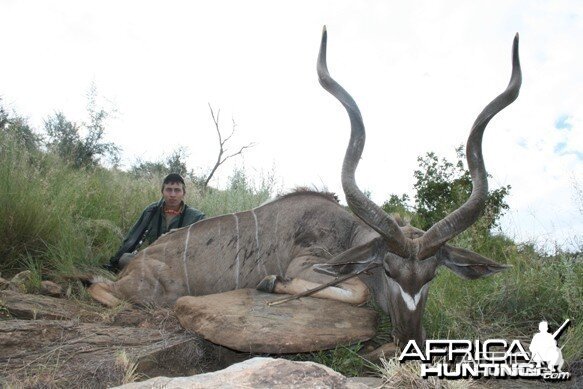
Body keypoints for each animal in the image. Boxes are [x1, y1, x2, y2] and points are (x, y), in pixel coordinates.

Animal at [89, 29, 524, 346]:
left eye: (433, 275)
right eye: (387, 269)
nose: (411, 340)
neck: (347, 232)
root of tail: (137, 262)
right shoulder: (309, 265)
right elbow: (356, 292)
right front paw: (269, 281)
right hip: (141, 292)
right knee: (101, 289)